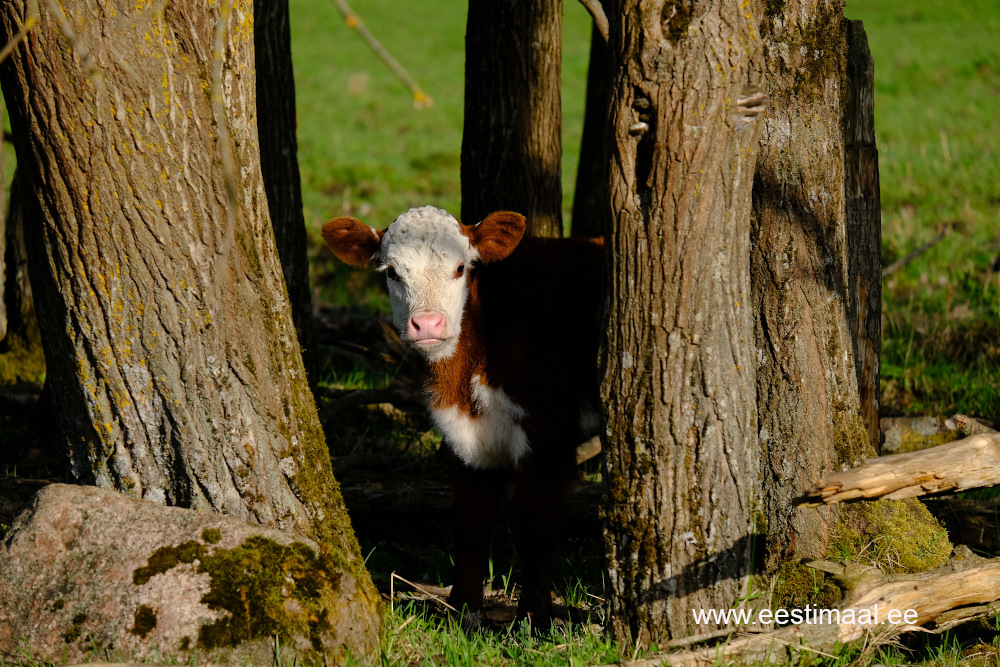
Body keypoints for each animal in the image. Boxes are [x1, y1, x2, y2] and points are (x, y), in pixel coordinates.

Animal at [324, 207, 600, 632]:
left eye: (459, 268)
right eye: (392, 272)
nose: (427, 324)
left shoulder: (549, 430)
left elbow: (533, 522)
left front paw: (534, 617)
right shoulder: (467, 436)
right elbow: (471, 522)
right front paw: (463, 612)